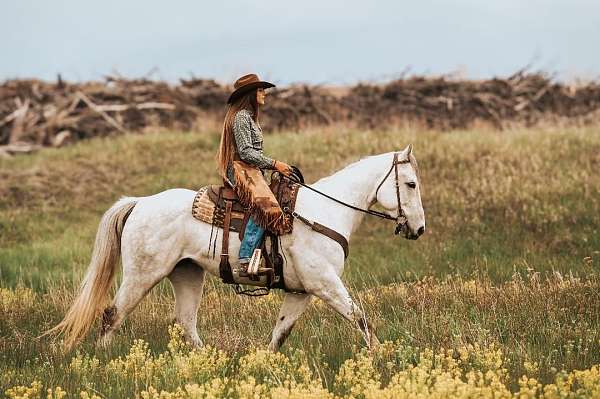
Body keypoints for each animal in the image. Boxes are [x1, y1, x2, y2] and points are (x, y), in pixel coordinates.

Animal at [50, 145, 426, 352]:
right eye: (410, 184)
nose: (419, 229)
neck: (324, 212)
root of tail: (140, 202)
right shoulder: (325, 284)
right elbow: (359, 317)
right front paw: (381, 357)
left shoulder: (301, 292)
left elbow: (280, 333)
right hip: (142, 275)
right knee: (112, 315)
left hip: (187, 274)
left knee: (186, 322)